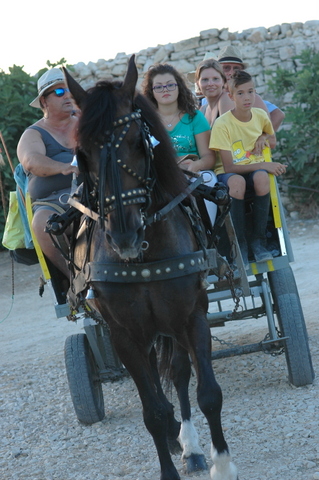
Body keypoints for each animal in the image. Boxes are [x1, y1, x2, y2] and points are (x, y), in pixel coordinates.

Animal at [63, 54, 238, 478]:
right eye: (83, 152)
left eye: (136, 142)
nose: (123, 235)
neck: (144, 255)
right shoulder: (124, 334)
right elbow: (153, 411)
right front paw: (170, 458)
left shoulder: (192, 316)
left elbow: (207, 392)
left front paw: (222, 463)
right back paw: (183, 442)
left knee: (178, 371)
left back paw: (192, 445)